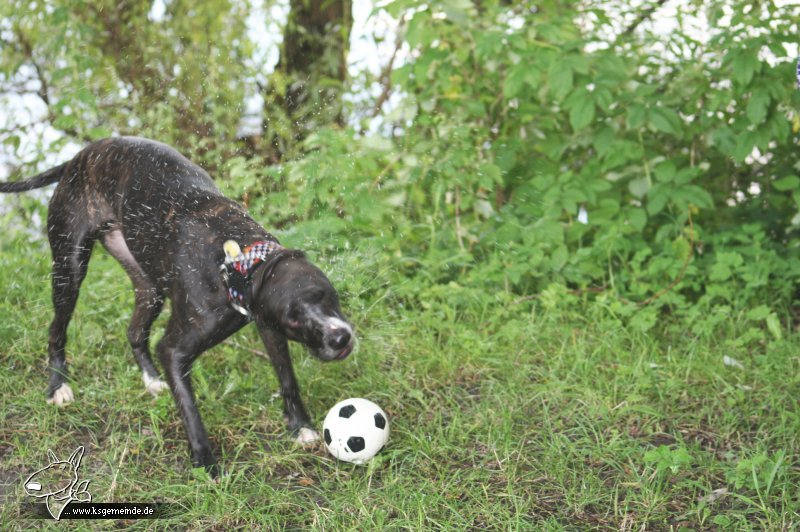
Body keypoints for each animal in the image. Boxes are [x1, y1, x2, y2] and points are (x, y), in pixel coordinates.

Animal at [0, 137, 354, 474]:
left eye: (327, 294)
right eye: (294, 319)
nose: (340, 338)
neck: (242, 262)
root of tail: (77, 159)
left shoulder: (268, 325)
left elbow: (287, 378)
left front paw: (301, 427)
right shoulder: (175, 350)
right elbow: (190, 412)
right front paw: (206, 465)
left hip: (149, 287)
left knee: (134, 331)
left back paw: (151, 380)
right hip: (69, 271)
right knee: (56, 329)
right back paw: (58, 385)